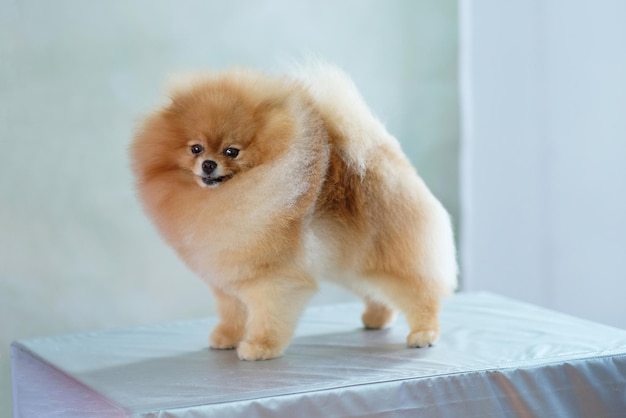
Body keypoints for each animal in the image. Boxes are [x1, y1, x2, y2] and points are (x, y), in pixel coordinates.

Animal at [130, 62, 454, 360]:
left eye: (231, 151)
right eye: (195, 148)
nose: (208, 164)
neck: (226, 197)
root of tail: (388, 156)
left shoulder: (274, 279)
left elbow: (268, 316)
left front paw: (260, 347)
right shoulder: (229, 277)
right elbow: (232, 311)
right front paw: (227, 337)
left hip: (387, 256)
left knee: (418, 292)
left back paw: (424, 332)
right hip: (351, 261)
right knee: (375, 290)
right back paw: (377, 318)